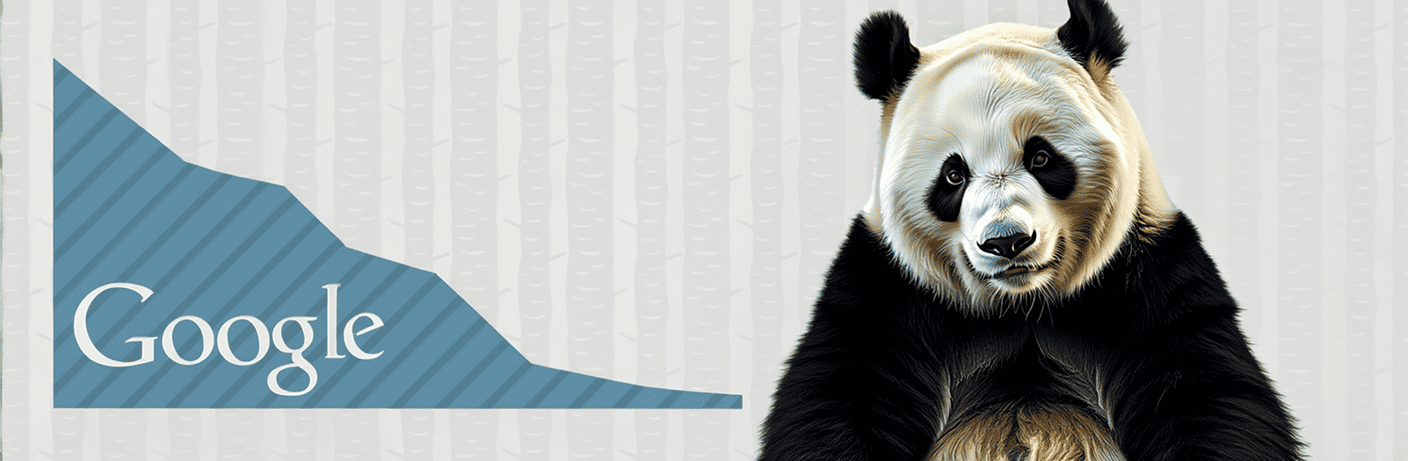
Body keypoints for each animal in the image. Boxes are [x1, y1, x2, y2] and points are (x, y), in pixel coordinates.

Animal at [759, 1, 1303, 460]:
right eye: (953, 175)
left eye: (1041, 157)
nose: (1007, 242)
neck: (1022, 306)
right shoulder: (887, 291)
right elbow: (836, 400)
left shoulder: (1149, 277)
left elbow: (1209, 397)